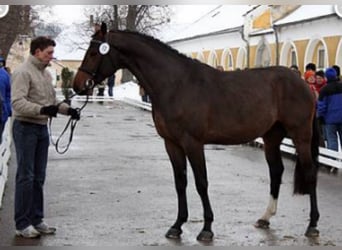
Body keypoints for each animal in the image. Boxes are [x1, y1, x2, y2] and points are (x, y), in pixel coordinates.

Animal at [72, 23, 320, 242]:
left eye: (93, 52)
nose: (78, 85)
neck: (176, 84)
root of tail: (300, 82)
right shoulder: (171, 143)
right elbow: (180, 182)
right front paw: (177, 225)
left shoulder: (193, 143)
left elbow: (201, 183)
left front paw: (207, 229)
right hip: (271, 137)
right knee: (276, 172)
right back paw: (265, 218)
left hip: (301, 135)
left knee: (309, 173)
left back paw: (312, 225)